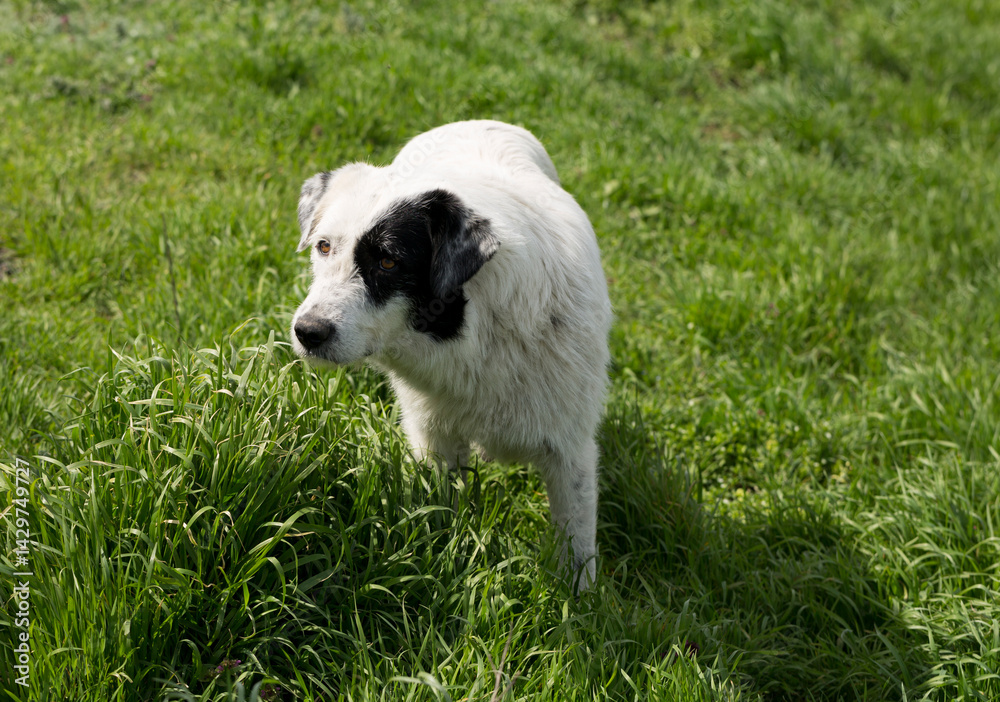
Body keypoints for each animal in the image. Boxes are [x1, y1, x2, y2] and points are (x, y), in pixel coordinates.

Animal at [291, 120, 612, 589]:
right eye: (324, 247)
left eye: (388, 262)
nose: (307, 332)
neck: (479, 335)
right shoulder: (434, 437)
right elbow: (438, 510)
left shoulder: (571, 447)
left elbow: (576, 541)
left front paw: (580, 600)